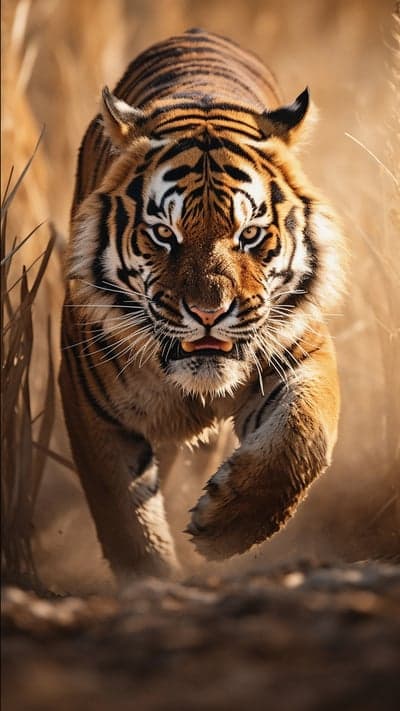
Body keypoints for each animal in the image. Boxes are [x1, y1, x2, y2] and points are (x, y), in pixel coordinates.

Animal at [60, 28, 345, 580]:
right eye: (163, 234)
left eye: (249, 234)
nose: (209, 313)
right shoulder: (90, 404)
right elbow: (125, 516)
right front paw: (152, 581)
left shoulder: (302, 351)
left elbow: (304, 437)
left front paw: (225, 526)